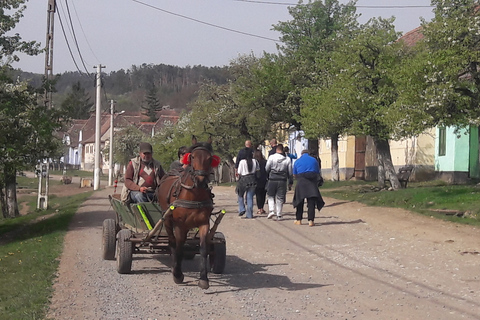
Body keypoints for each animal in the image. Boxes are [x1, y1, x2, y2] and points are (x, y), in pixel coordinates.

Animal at [156, 135, 219, 290]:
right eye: (193, 156)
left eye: (210, 158)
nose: (201, 180)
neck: (194, 195)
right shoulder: (180, 226)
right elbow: (179, 248)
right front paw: (178, 275)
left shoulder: (204, 223)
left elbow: (203, 249)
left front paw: (204, 279)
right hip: (167, 220)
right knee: (172, 243)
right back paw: (174, 267)